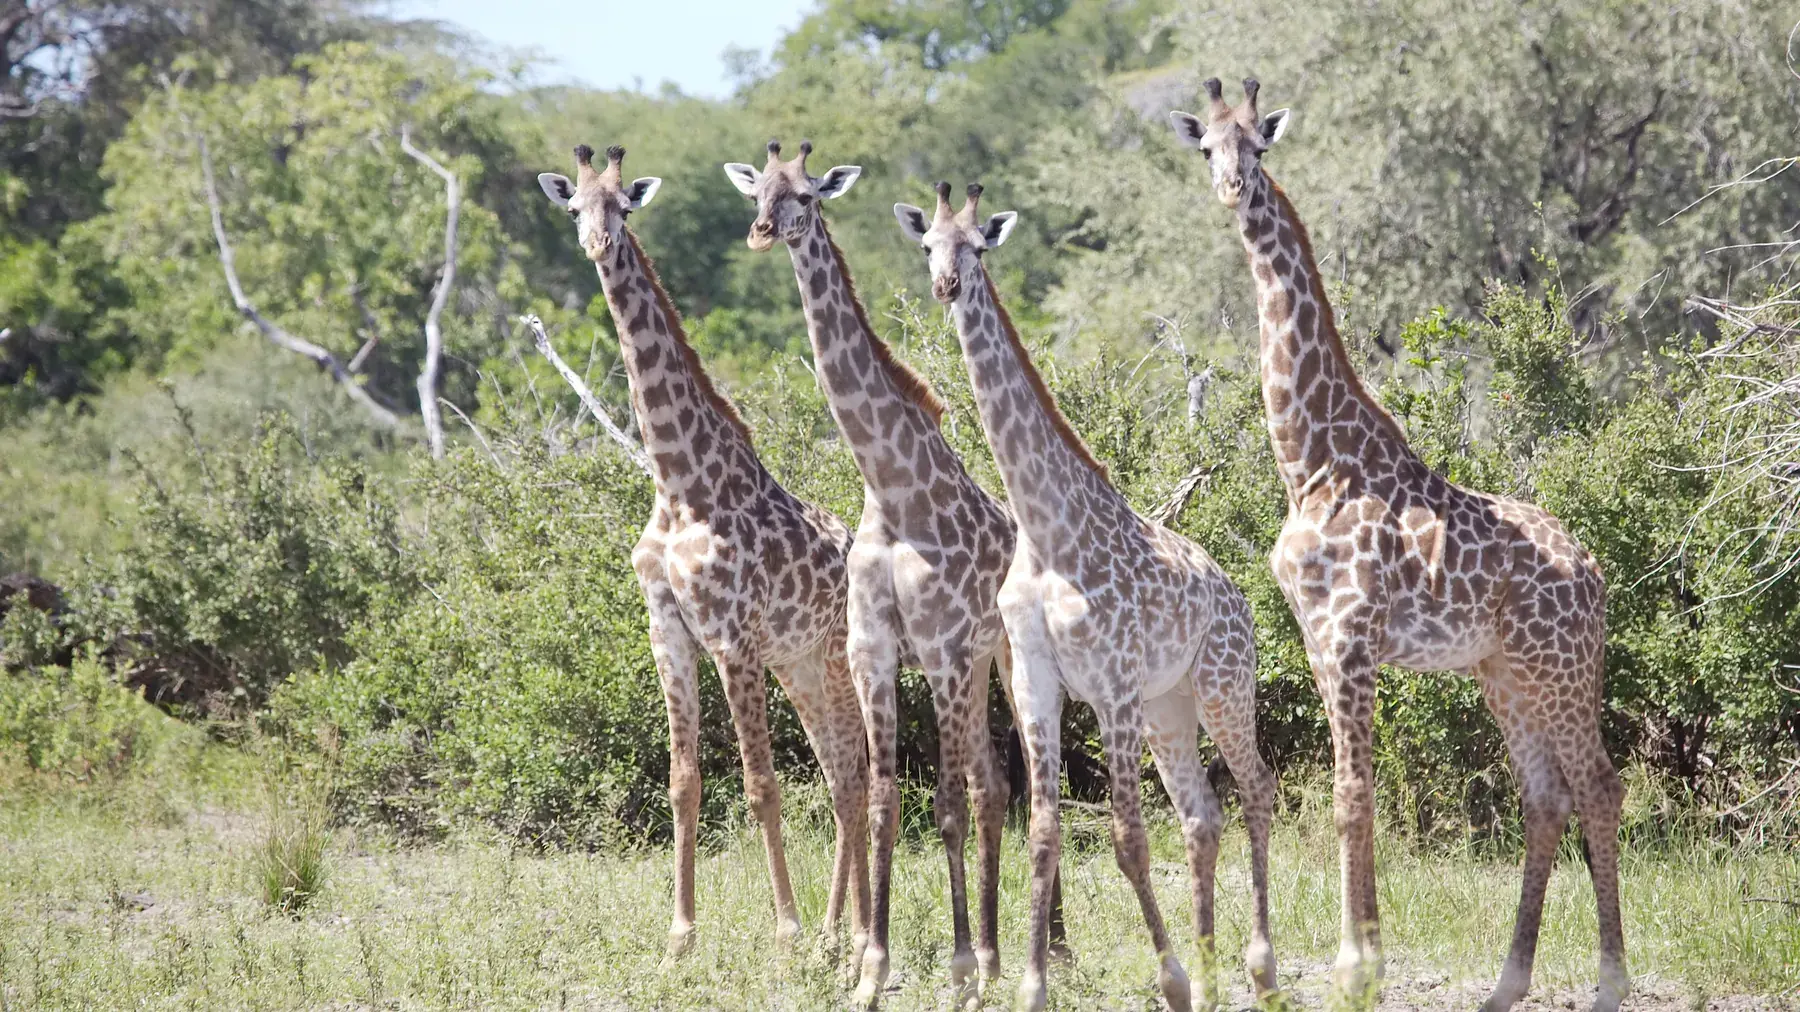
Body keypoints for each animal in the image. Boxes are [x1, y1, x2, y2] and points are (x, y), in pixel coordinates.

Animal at [536, 144, 870, 962]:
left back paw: (842, 933)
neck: (680, 483)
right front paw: (680, 937)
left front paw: (782, 930)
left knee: (855, 774)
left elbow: (759, 785)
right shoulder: (669, 631)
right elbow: (683, 782)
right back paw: (837, 930)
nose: (597, 244)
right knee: (840, 771)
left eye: (624, 205)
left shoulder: (732, 636)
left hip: (833, 655)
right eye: (574, 207)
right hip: (798, 665)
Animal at [724, 138, 1065, 1009]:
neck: (893, 489)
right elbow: (881, 801)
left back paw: (1036, 951)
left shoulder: (940, 651)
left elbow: (941, 805)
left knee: (1002, 785)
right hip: (973, 669)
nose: (763, 230)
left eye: (808, 194)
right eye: (761, 188)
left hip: (998, 660)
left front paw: (956, 966)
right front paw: (868, 969)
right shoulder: (872, 652)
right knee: (992, 785)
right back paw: (999, 953)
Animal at [895, 181, 1279, 1012]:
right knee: (1203, 815)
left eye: (978, 246)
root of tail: (1236, 596)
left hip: (1222, 684)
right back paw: (1212, 969)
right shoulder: (1039, 682)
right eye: (928, 246)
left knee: (1258, 790)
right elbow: (1044, 830)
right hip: (1171, 707)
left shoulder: (1112, 684)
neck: (1047, 530)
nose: (946, 286)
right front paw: (1034, 983)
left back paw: (1259, 970)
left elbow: (1126, 837)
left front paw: (1168, 978)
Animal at [1170, 79, 1627, 1012]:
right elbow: (1351, 790)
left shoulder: (1350, 632)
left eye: (1258, 146)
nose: (1233, 189)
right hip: (1505, 672)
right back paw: (1505, 985)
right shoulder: (1316, 637)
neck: (1309, 460)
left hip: (1559, 668)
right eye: (1208, 147)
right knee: (1545, 798)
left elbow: (1351, 793)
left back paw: (1609, 983)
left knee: (1599, 787)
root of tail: (1595, 572)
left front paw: (1357, 968)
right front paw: (1365, 959)